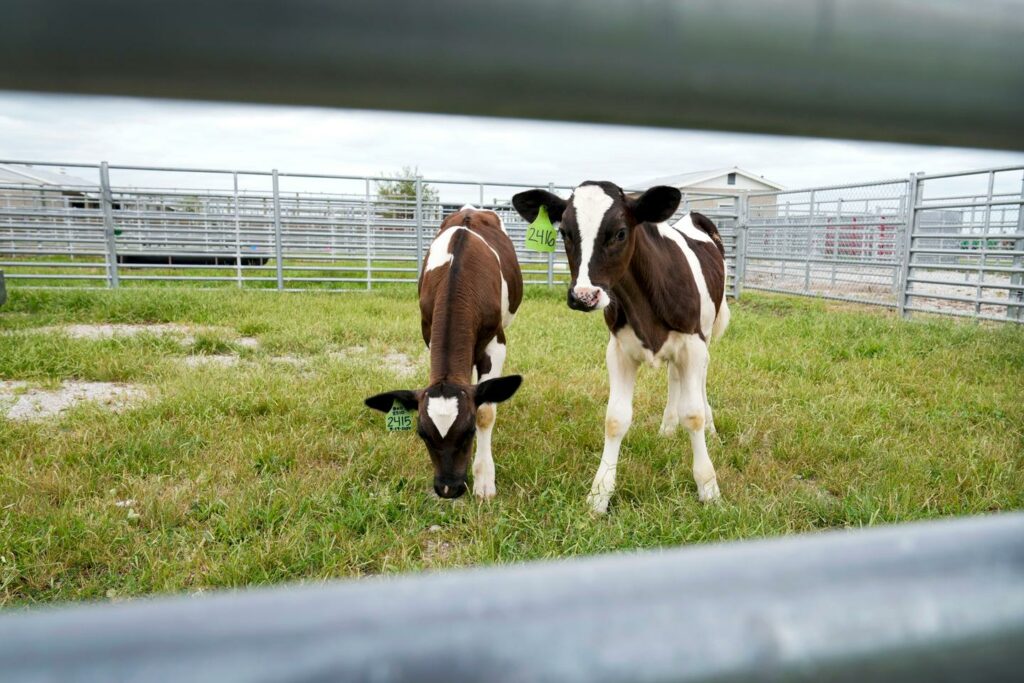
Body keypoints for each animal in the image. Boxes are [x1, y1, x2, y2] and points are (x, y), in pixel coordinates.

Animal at [364, 205, 524, 499]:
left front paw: (484, 479)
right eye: (422, 434)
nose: (448, 488)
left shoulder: (496, 341)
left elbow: (486, 411)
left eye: (469, 431)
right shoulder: (428, 331)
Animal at [512, 181, 729, 511]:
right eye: (565, 233)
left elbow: (693, 415)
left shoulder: (692, 344)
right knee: (673, 378)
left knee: (700, 381)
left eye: (620, 233)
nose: (583, 296)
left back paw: (712, 430)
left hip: (705, 334)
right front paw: (599, 495)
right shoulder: (618, 350)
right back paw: (667, 428)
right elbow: (615, 419)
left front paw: (709, 487)